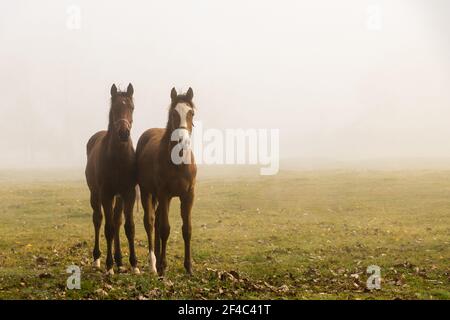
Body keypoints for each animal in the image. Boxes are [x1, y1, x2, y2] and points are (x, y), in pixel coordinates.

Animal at [85, 84, 139, 276]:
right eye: (114, 108)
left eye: (132, 107)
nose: (124, 133)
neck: (118, 158)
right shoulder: (106, 194)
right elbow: (107, 228)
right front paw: (109, 267)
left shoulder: (128, 193)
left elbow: (128, 227)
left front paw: (134, 264)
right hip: (95, 194)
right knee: (98, 219)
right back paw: (97, 259)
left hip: (119, 197)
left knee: (117, 221)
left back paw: (119, 260)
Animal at [137, 87, 197, 276]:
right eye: (173, 114)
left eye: (191, 113)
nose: (183, 140)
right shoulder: (164, 194)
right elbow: (165, 229)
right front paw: (163, 266)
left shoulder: (188, 195)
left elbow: (187, 230)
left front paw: (189, 267)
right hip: (147, 193)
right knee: (150, 223)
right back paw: (154, 263)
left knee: (156, 221)